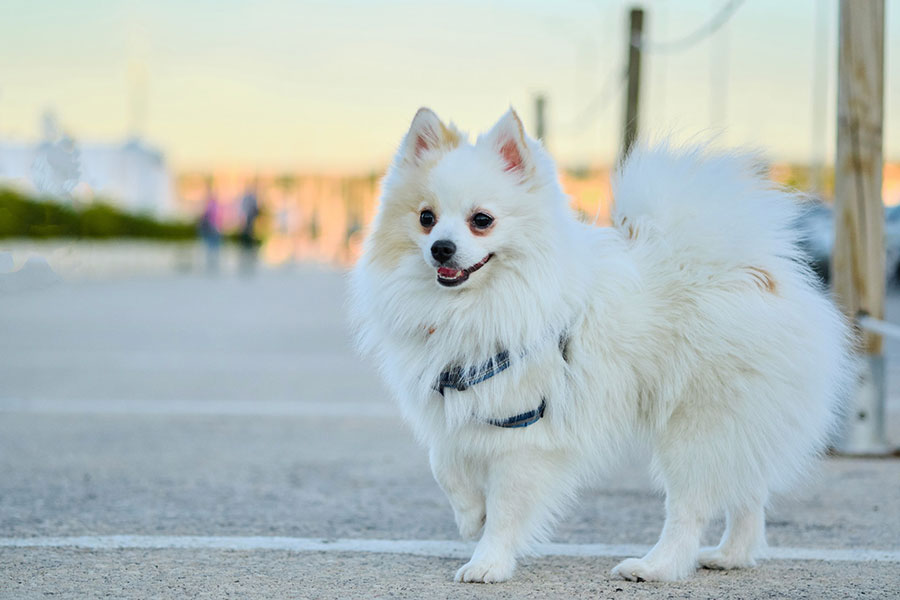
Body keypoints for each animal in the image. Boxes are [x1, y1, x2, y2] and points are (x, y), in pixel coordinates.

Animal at [348, 106, 856, 580]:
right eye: (426, 218)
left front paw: (488, 562)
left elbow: (507, 506)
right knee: (746, 491)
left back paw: (656, 567)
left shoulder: (524, 428)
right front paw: (471, 516)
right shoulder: (462, 403)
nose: (441, 248)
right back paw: (730, 556)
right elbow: (444, 465)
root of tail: (756, 273)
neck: (480, 302)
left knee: (690, 508)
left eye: (482, 220)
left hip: (698, 426)